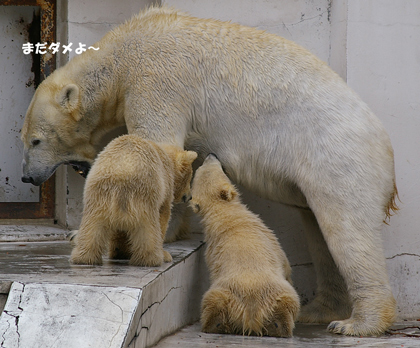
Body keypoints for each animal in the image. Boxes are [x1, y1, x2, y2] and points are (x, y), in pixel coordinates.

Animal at [22, 6, 398, 338]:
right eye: (23, 139)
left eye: (36, 141)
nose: (27, 177)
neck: (123, 51)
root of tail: (387, 151)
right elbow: (184, 163)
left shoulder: (157, 78)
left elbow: (157, 140)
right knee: (318, 232)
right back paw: (318, 310)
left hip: (336, 158)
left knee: (346, 231)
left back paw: (357, 324)